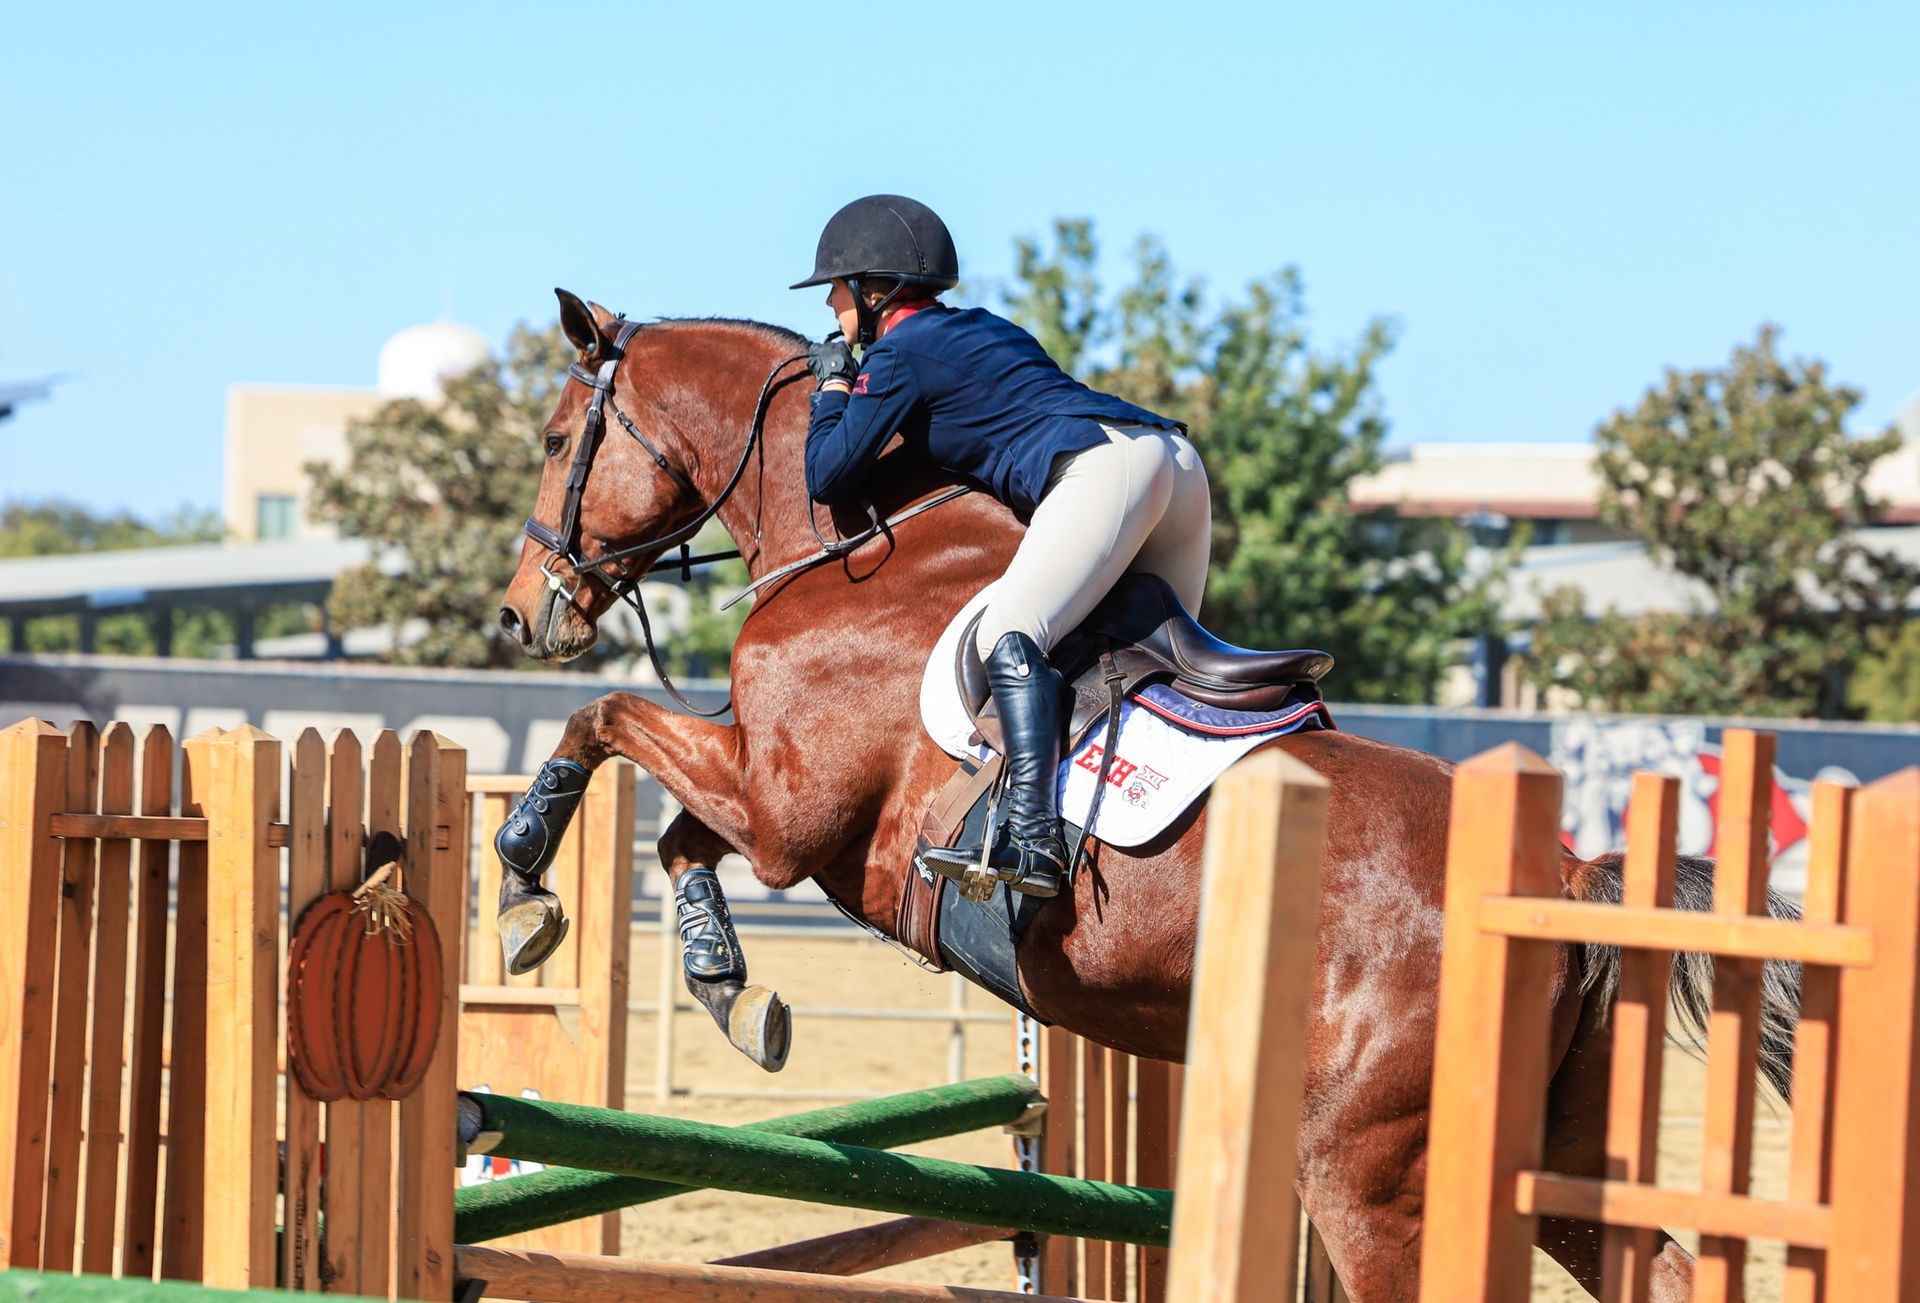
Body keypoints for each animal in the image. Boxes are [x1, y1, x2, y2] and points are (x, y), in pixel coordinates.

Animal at [493, 290, 1800, 1301]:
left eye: (557, 440)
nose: (519, 614)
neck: (858, 544)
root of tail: (1568, 871)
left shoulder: (788, 814)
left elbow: (606, 723)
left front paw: (522, 877)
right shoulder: (772, 804)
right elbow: (675, 838)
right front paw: (726, 983)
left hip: (1371, 1174)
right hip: (1556, 1144)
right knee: (1662, 1268)